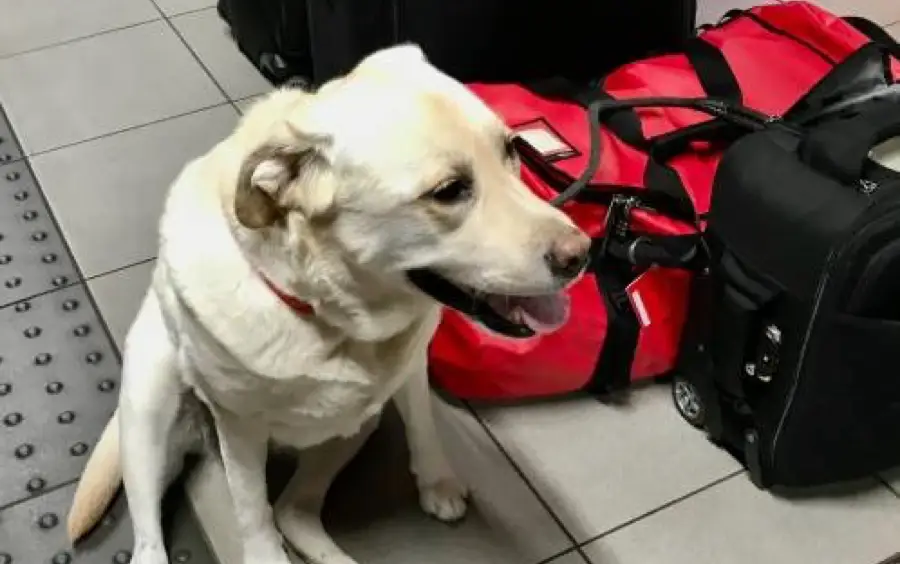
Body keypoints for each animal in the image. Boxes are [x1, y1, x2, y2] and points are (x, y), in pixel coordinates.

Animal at [68, 46, 592, 564]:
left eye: (511, 149)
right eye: (448, 191)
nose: (582, 255)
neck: (335, 320)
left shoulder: (408, 369)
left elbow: (422, 422)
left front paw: (436, 481)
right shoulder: (238, 429)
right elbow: (252, 513)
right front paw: (263, 555)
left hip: (353, 425)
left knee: (293, 513)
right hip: (148, 409)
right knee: (153, 538)